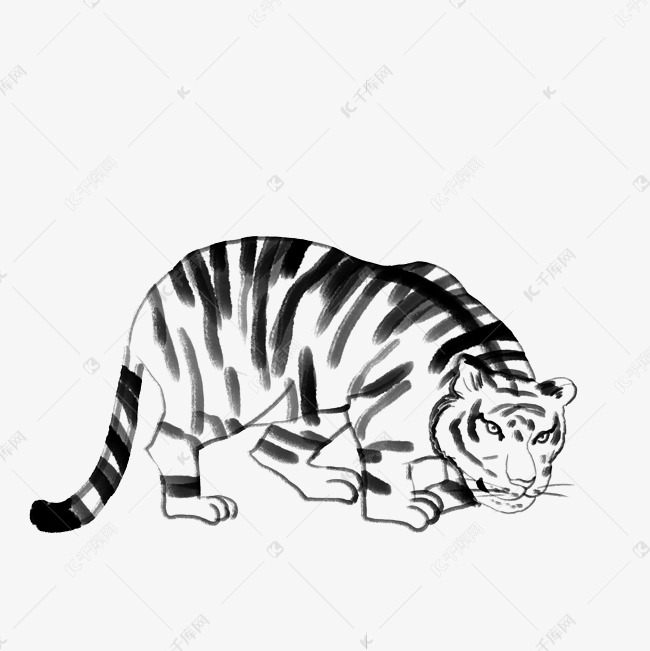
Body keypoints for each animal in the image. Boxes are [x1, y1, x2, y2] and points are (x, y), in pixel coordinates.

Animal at [29, 236, 577, 533]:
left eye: (545, 437)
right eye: (492, 431)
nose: (524, 482)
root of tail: (152, 296)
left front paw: (447, 488)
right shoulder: (381, 419)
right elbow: (387, 474)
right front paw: (404, 508)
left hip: (314, 398)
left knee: (272, 448)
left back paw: (326, 483)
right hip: (224, 394)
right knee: (170, 441)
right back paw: (195, 504)